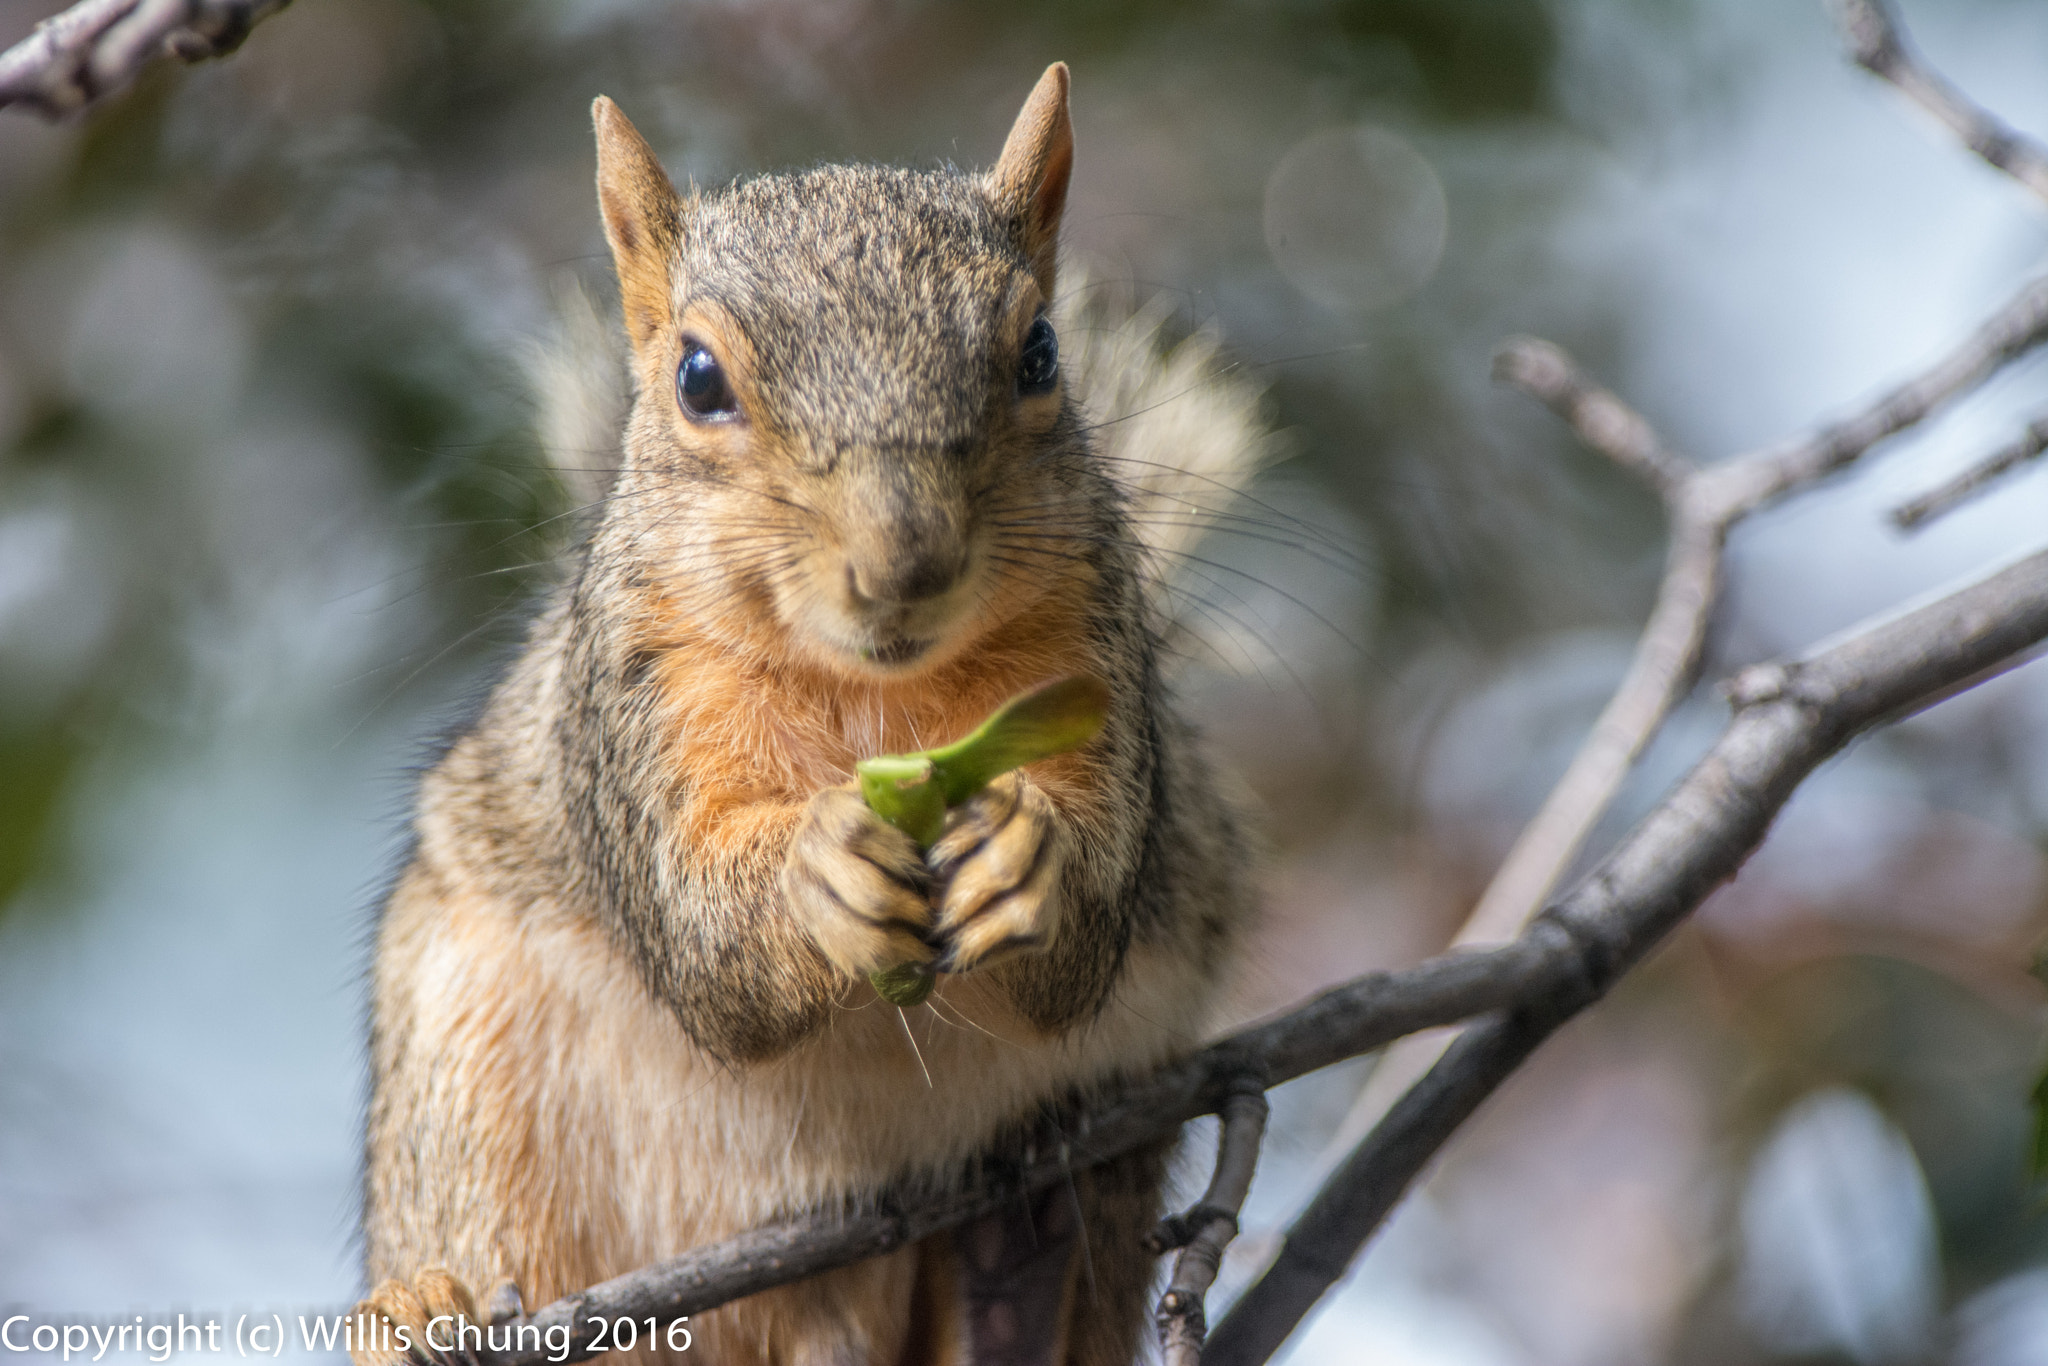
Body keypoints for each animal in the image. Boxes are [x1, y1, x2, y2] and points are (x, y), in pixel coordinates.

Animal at [360, 63, 1269, 1366]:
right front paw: (814, 873)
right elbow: (703, 940)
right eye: (697, 379)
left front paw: (1027, 854)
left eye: (1039, 351)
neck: (873, 694)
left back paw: (1023, 1266)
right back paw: (418, 1308)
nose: (904, 560)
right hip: (467, 1071)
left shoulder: (1097, 670)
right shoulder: (631, 709)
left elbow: (1080, 946)